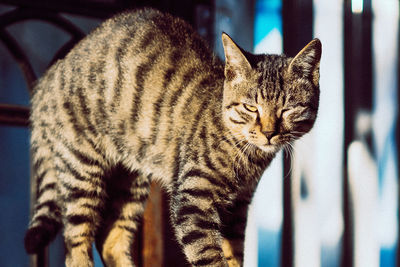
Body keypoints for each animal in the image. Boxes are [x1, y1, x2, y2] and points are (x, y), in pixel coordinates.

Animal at [23, 7, 320, 267]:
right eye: (250, 107)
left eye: (287, 109)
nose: (269, 133)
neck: (246, 158)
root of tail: (49, 77)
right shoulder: (193, 201)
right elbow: (210, 257)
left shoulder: (237, 208)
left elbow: (234, 255)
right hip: (82, 171)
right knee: (76, 244)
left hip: (132, 182)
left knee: (111, 241)